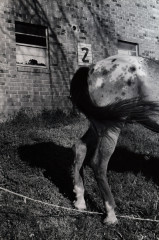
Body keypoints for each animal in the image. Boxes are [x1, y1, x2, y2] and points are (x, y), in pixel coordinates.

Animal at [70, 54, 159, 225]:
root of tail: (92, 68)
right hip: (112, 126)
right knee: (98, 164)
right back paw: (110, 214)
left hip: (99, 124)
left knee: (80, 147)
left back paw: (80, 200)